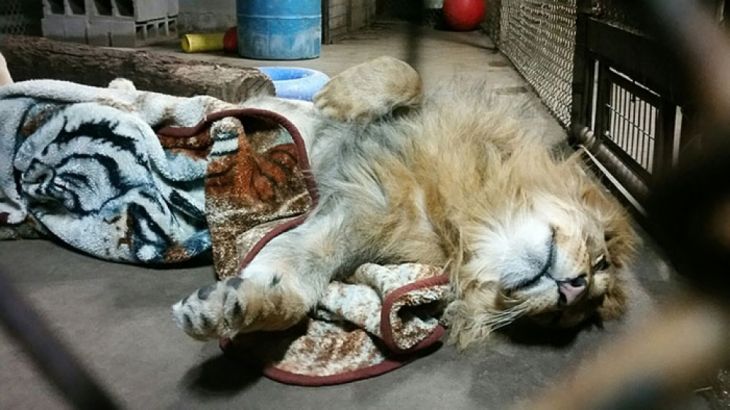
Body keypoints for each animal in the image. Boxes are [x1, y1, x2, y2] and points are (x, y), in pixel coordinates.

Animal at [172, 56, 637, 348]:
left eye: (555, 319)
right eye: (599, 262)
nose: (573, 291)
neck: (463, 216)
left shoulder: (352, 220)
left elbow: (292, 278)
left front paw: (237, 309)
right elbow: (406, 73)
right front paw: (333, 98)